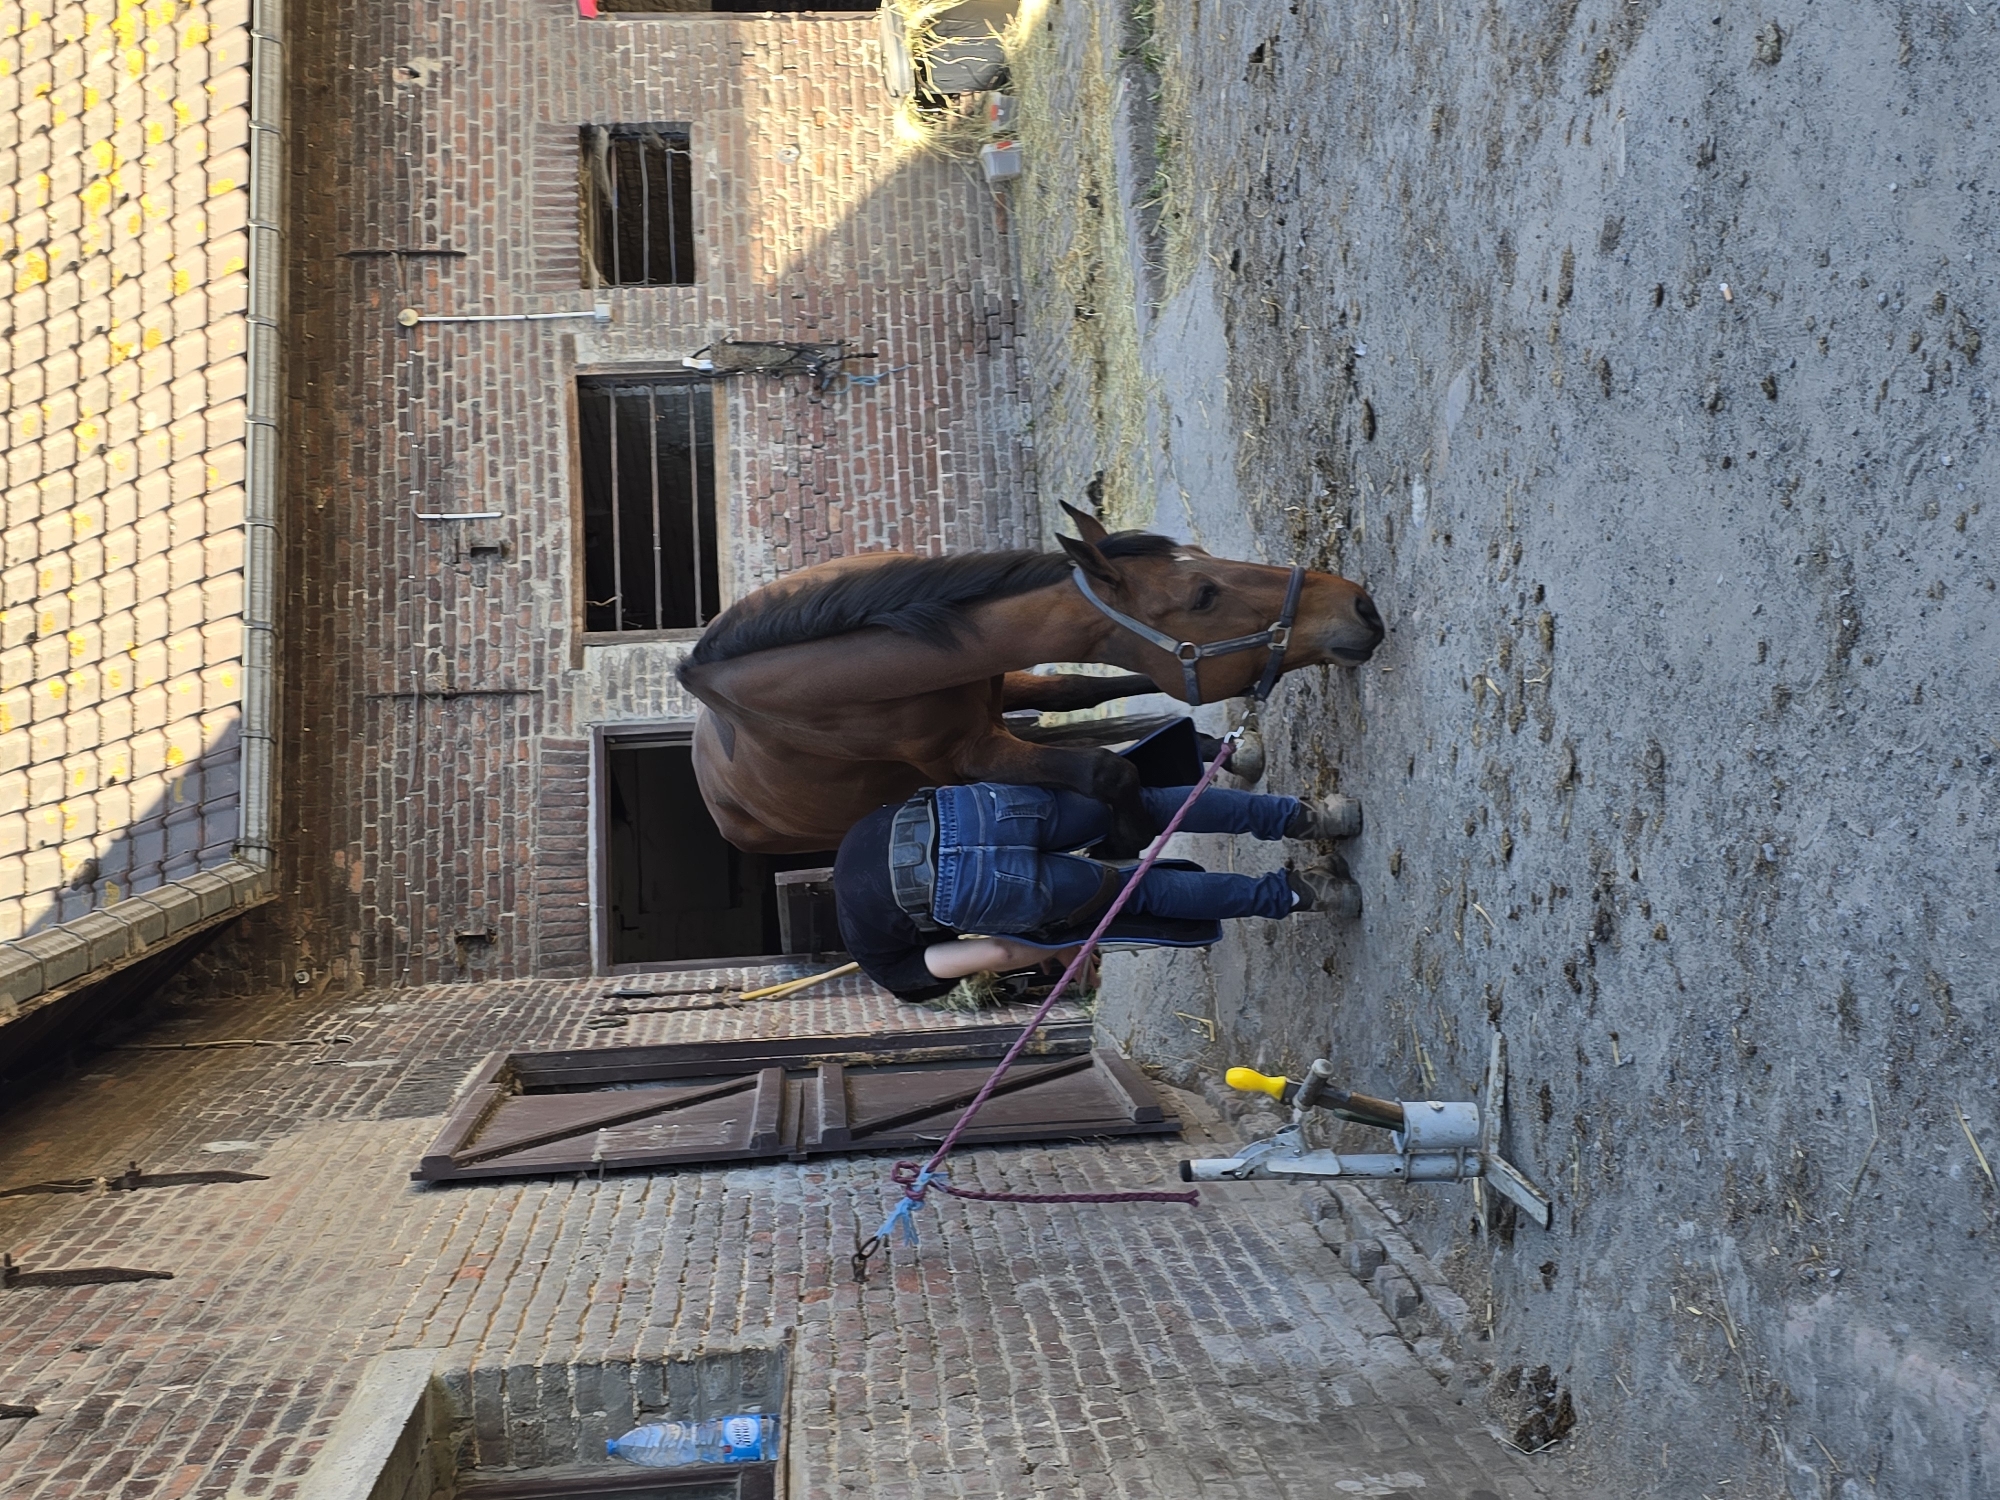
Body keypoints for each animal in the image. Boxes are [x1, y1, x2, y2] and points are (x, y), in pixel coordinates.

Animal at [676, 505, 1385, 856]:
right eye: (1204, 595)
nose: (1360, 606)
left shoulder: (993, 682)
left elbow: (1088, 693)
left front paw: (1221, 751)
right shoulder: (967, 757)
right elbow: (1106, 770)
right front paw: (1125, 835)